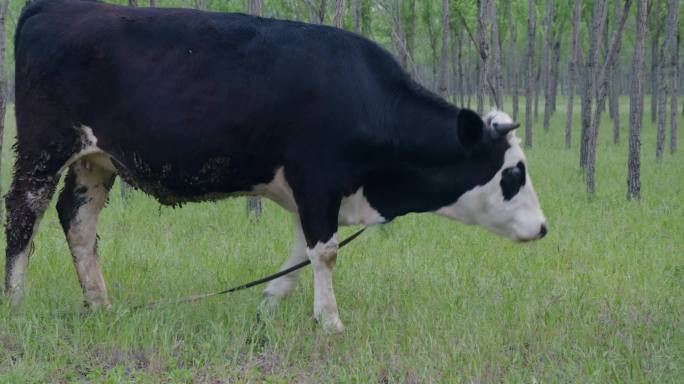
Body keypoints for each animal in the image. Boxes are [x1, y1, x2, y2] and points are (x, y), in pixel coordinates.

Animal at [5, 0, 544, 332]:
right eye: (513, 173)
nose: (542, 228)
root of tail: (52, 7)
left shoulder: (314, 192)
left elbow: (302, 251)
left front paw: (269, 303)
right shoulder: (319, 179)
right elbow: (325, 253)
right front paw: (331, 321)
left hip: (95, 161)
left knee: (77, 220)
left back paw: (99, 304)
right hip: (42, 148)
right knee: (23, 215)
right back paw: (15, 300)